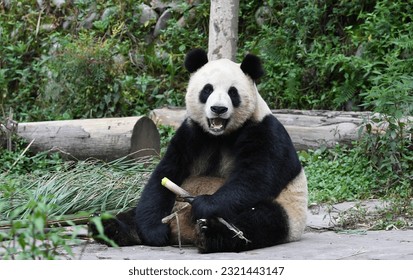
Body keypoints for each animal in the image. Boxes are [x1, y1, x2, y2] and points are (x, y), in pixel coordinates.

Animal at [91, 49, 308, 253]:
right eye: (207, 89)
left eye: (233, 92)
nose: (218, 109)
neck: (220, 135)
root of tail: (183, 234)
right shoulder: (191, 134)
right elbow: (165, 175)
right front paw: (154, 230)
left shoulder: (264, 131)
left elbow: (256, 177)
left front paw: (204, 205)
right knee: (134, 213)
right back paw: (108, 226)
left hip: (287, 212)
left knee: (259, 221)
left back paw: (210, 234)